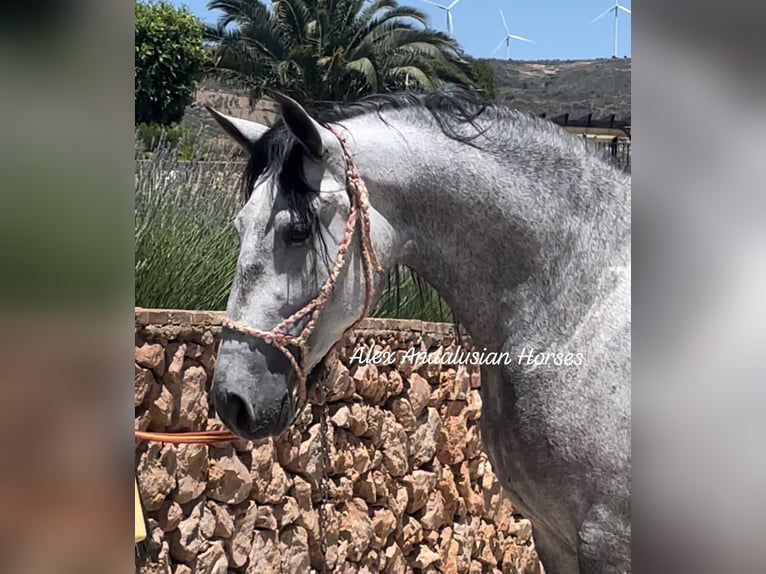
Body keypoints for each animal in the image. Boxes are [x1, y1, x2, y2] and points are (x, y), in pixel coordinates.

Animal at [207, 92, 632, 572]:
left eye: (298, 230)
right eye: (240, 225)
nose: (231, 401)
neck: (580, 308)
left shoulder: (608, 539)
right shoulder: (551, 534)